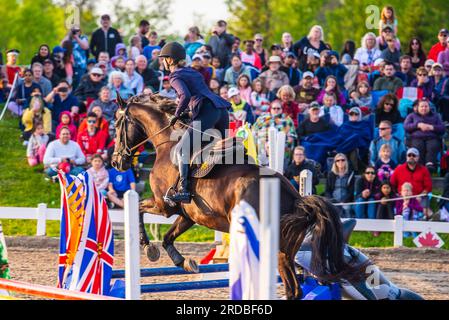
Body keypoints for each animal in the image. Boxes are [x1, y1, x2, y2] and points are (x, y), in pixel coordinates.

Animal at [110, 92, 366, 300]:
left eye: (118, 124)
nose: (116, 162)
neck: (167, 145)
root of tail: (295, 198)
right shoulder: (189, 215)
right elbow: (167, 238)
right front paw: (185, 263)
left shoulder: (164, 206)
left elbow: (139, 209)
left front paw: (147, 247)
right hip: (285, 250)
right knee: (294, 289)